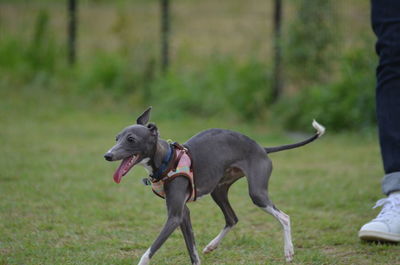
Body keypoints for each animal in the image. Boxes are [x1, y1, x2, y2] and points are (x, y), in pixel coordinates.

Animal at [103, 106, 324, 262]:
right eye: (116, 138)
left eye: (131, 139)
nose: (107, 155)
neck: (167, 159)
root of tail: (262, 148)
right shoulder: (184, 214)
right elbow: (192, 250)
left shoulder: (174, 217)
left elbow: (149, 251)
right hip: (218, 190)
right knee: (232, 218)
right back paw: (211, 245)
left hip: (257, 192)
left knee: (284, 217)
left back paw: (289, 251)